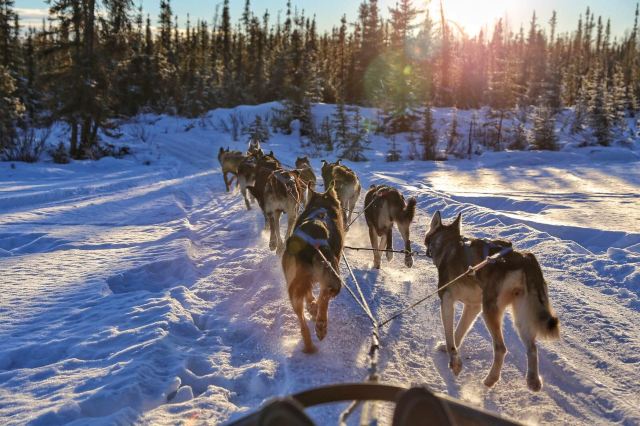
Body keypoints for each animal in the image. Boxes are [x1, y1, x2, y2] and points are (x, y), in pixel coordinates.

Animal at [282, 186, 344, 352]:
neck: (321, 206)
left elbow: (309, 294)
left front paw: (311, 306)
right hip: (334, 277)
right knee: (325, 294)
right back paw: (321, 324)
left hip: (294, 289)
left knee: (302, 321)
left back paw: (309, 344)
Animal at [424, 211, 560, 392]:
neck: (449, 244)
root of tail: (525, 258)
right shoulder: (473, 307)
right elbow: (459, 331)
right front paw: (449, 350)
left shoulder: (447, 300)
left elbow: (449, 335)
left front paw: (454, 361)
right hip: (520, 316)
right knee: (532, 348)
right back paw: (533, 381)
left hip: (489, 311)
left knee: (501, 348)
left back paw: (491, 379)